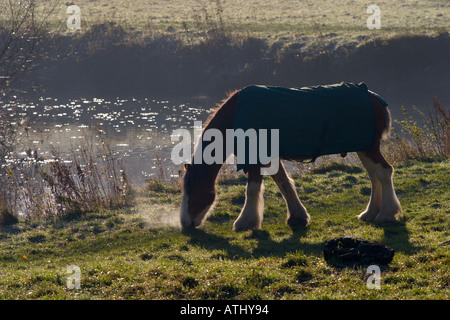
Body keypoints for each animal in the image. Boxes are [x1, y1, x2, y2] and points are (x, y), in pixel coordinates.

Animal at [181, 82, 402, 230]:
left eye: (191, 190)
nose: (185, 223)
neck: (237, 114)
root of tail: (376, 99)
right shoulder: (270, 156)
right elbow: (284, 183)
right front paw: (298, 217)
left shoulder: (256, 156)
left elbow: (252, 189)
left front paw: (245, 221)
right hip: (364, 148)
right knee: (374, 176)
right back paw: (370, 212)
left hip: (369, 148)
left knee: (384, 172)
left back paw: (386, 213)